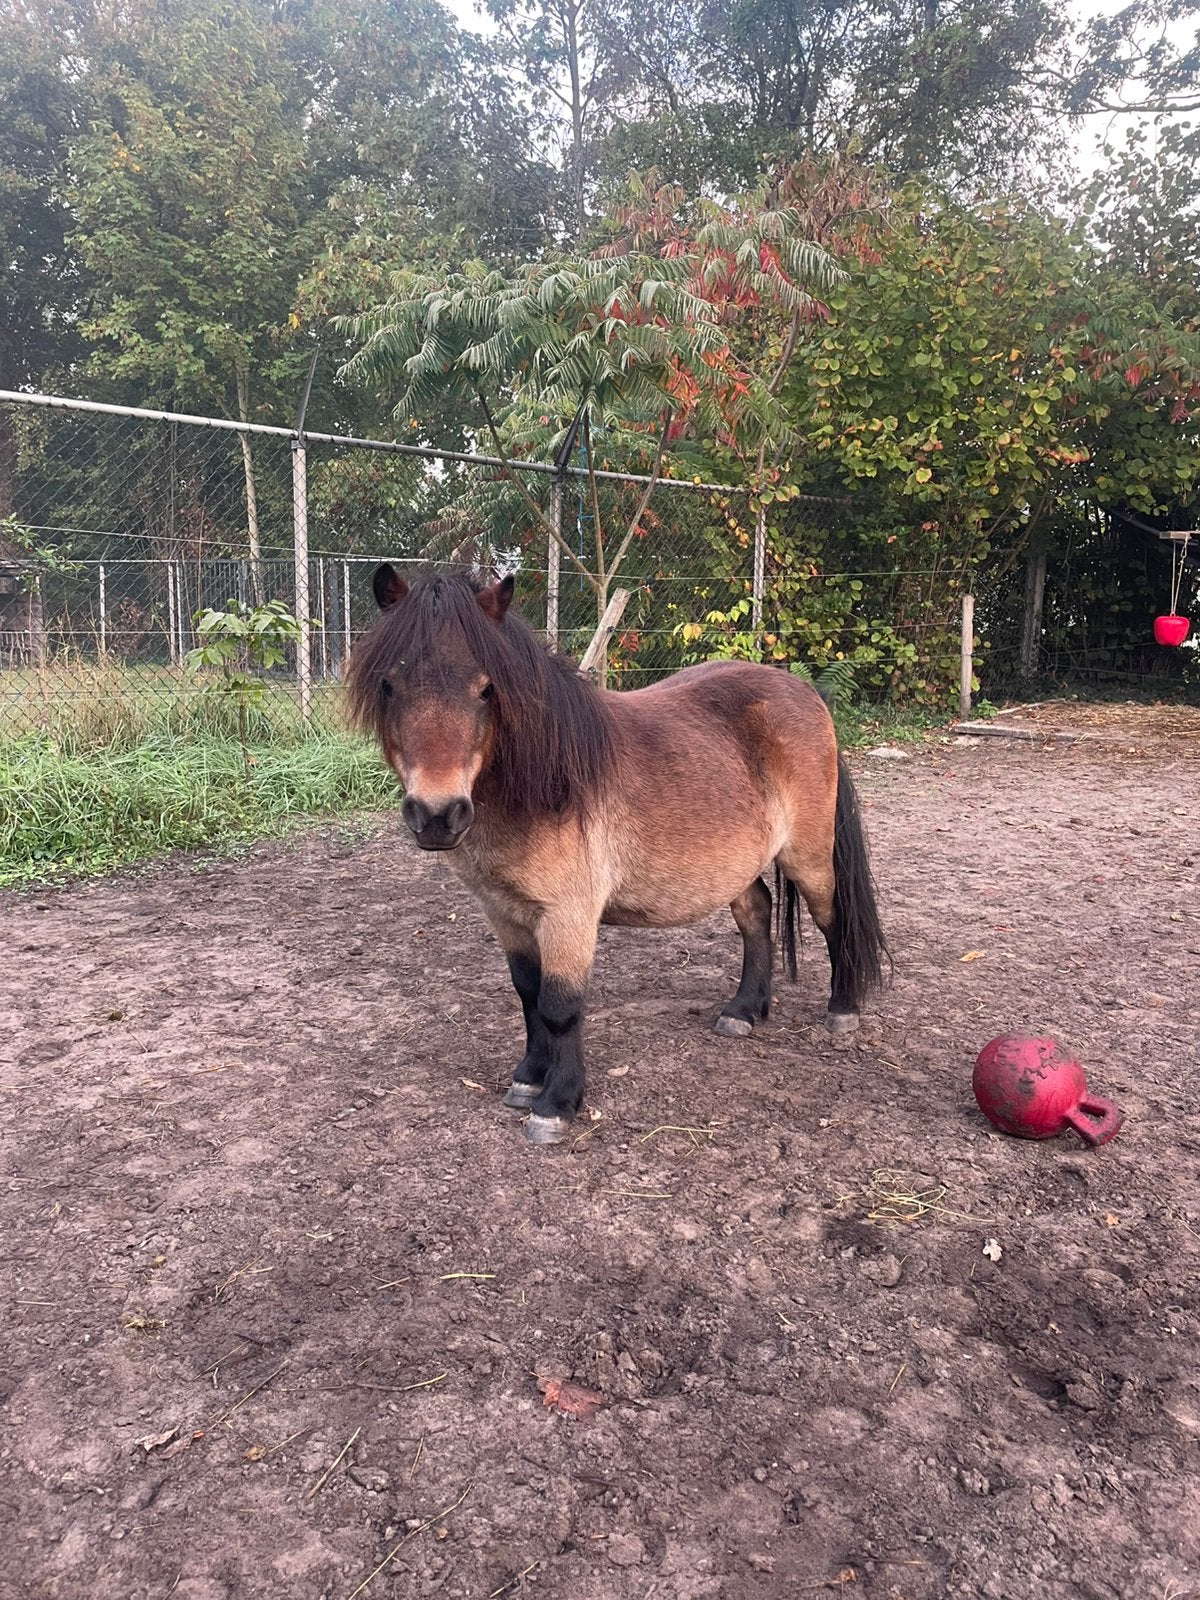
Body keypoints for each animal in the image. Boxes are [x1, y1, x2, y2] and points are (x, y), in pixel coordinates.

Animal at [347, 566, 888, 1145]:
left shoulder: (568, 916)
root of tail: (806, 692)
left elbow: (560, 1007)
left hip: (807, 858)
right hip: (734, 864)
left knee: (832, 918)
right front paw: (527, 1079)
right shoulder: (504, 913)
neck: (546, 783)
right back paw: (743, 1010)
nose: (437, 814)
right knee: (756, 912)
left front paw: (556, 1104)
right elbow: (527, 994)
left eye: (487, 689)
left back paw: (842, 1010)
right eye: (389, 684)